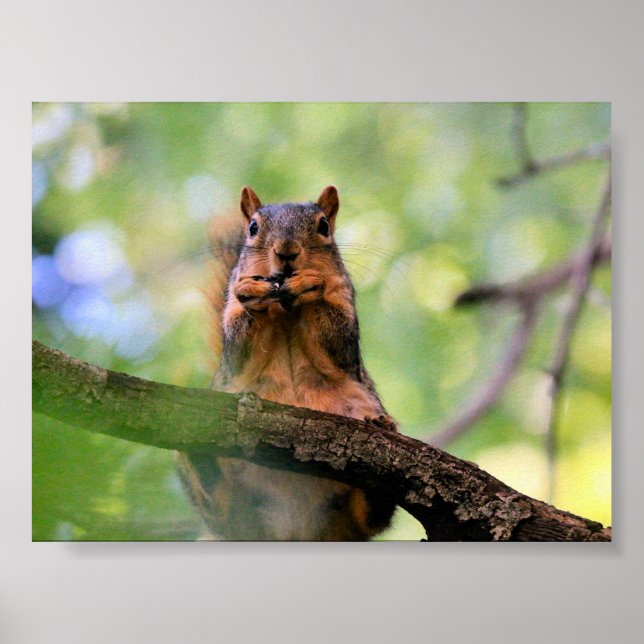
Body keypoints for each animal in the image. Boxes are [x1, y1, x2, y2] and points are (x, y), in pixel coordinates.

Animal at [176, 186, 397, 540]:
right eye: (253, 228)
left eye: (323, 226)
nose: (287, 251)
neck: (288, 309)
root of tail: (298, 528)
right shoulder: (233, 330)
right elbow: (239, 346)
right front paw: (252, 293)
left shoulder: (344, 311)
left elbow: (337, 339)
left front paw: (311, 284)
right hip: (233, 511)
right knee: (222, 508)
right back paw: (201, 458)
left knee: (372, 517)